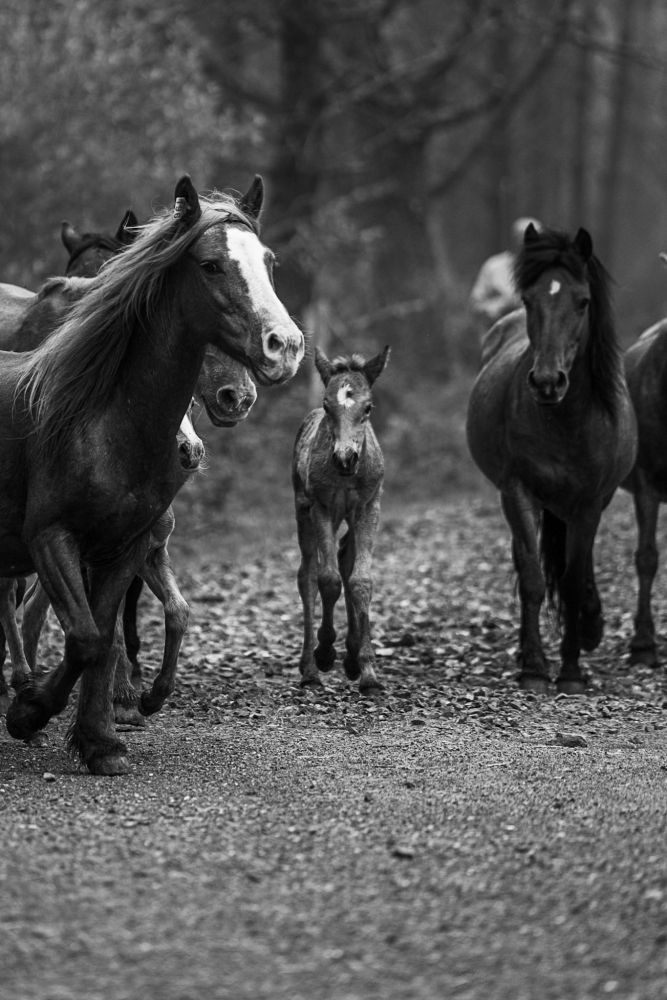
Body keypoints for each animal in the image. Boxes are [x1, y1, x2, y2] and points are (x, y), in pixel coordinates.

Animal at [1, 173, 304, 774]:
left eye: (268, 261)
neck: (103, 419)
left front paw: (101, 738)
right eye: (210, 265)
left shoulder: (126, 544)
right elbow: (88, 636)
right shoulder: (50, 537)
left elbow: (104, 634)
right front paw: (31, 713)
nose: (285, 346)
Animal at [293, 346, 390, 694]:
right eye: (326, 405)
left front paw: (367, 670)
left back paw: (350, 656)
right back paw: (309, 668)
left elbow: (360, 580)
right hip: (303, 510)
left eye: (368, 407)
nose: (345, 458)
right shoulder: (321, 507)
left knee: (346, 557)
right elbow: (328, 579)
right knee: (307, 574)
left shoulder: (369, 507)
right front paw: (324, 652)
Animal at [466, 225, 637, 694]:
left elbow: (574, 579)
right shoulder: (518, 491)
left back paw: (591, 627)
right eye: (528, 300)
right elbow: (533, 577)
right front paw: (535, 669)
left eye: (583, 301)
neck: (567, 421)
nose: (546, 382)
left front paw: (573, 671)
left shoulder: (590, 502)